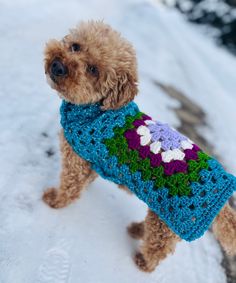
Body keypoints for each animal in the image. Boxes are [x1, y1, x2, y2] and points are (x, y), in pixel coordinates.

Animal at [42, 20, 236, 272]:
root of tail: (220, 198)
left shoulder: (76, 160)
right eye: (75, 46)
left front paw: (54, 201)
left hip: (170, 221)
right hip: (164, 216)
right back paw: (136, 230)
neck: (95, 110)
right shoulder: (91, 161)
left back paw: (144, 262)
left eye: (93, 70)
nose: (58, 66)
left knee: (159, 248)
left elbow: (70, 187)